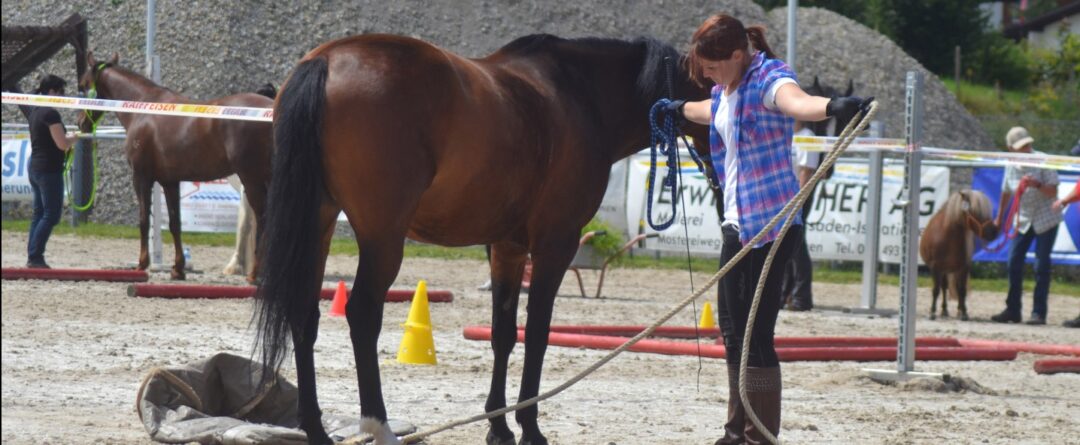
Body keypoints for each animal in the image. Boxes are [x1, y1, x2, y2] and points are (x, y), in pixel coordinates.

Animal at [78, 52, 272, 280]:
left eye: (83, 85)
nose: (81, 123)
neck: (142, 109)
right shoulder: (170, 181)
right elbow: (174, 224)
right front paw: (178, 269)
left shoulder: (141, 178)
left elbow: (144, 220)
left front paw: (142, 263)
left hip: (251, 179)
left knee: (263, 220)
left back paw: (254, 274)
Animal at [251, 35, 708, 445]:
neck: (580, 95)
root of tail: (326, 60)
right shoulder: (555, 244)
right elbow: (537, 333)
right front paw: (530, 429)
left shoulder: (507, 247)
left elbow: (502, 333)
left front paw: (499, 427)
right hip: (382, 237)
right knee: (362, 314)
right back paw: (380, 427)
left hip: (318, 225)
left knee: (303, 314)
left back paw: (315, 430)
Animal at [924, 189, 997, 321]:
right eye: (974, 211)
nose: (994, 231)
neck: (947, 236)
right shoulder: (935, 268)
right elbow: (936, 290)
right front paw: (932, 312)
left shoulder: (963, 268)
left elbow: (962, 290)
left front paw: (964, 313)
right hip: (944, 271)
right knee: (944, 287)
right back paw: (944, 310)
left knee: (957, 288)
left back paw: (958, 310)